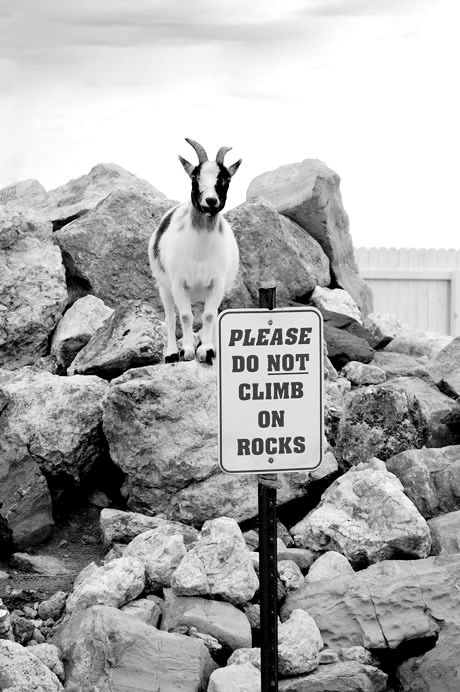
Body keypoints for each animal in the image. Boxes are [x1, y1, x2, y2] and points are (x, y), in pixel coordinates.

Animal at [148, 138, 242, 364]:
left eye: (226, 179)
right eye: (195, 177)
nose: (210, 201)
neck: (200, 253)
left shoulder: (217, 284)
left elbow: (209, 315)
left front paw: (206, 350)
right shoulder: (178, 283)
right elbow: (185, 316)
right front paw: (188, 351)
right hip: (164, 287)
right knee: (170, 318)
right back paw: (172, 353)